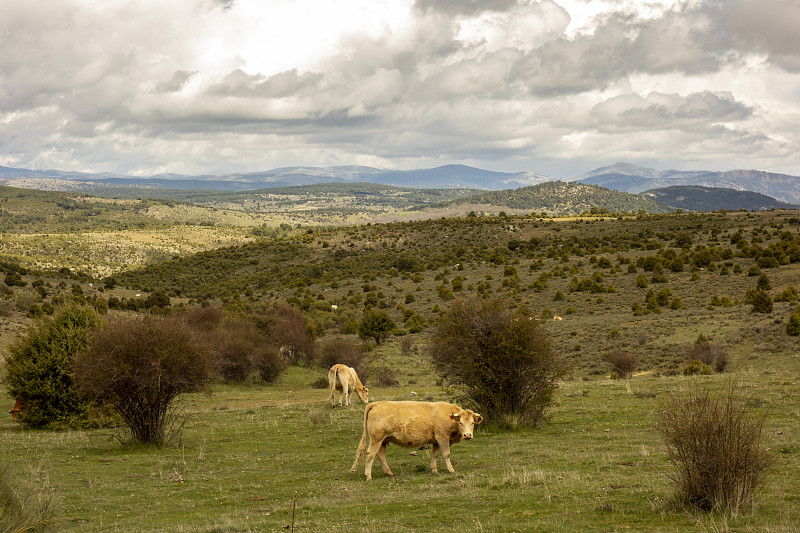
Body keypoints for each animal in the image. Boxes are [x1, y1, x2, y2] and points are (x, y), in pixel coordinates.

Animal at [350, 402, 482, 480]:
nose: (467, 435)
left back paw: (389, 472)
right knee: (370, 454)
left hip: (382, 441)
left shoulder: (436, 441)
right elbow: (446, 454)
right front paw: (451, 470)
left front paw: (434, 470)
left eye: (472, 423)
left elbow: (435, 455)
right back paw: (368, 475)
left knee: (381, 455)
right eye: (461, 423)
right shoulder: (442, 437)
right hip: (376, 439)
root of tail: (377, 404)